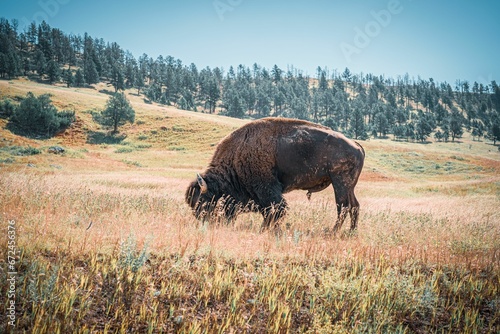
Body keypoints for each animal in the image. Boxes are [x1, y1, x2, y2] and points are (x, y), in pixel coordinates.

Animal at [186, 117, 366, 232]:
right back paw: (351, 232)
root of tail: (356, 145)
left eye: (203, 202)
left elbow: (275, 210)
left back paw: (333, 231)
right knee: (354, 206)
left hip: (340, 182)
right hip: (349, 186)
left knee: (343, 206)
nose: (206, 223)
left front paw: (265, 230)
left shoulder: (267, 189)